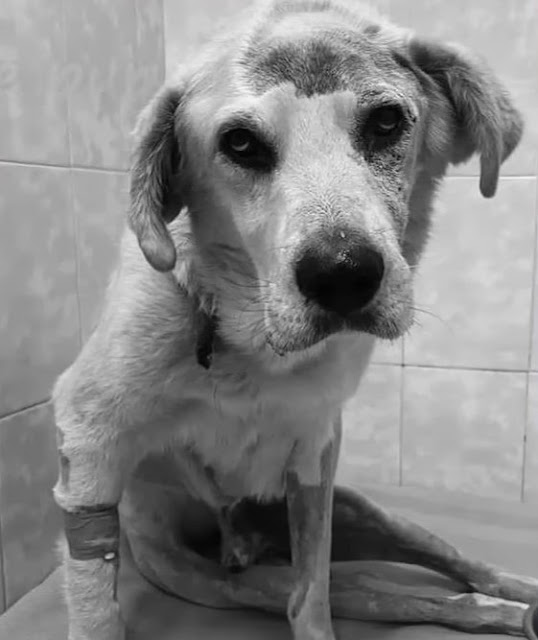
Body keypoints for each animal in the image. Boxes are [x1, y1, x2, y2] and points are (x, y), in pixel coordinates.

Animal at [52, 1, 524, 638]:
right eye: (240, 143)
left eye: (385, 122)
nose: (343, 273)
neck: (251, 339)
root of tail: (243, 544)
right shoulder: (88, 446)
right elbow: (96, 608)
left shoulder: (315, 455)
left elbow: (312, 591)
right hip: (217, 583)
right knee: (378, 593)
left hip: (361, 512)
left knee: (437, 574)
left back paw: (512, 598)